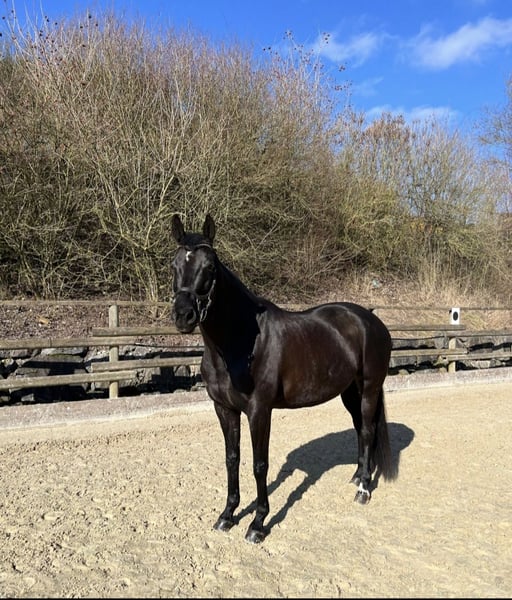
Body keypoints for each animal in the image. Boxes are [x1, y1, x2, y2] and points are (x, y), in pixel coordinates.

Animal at [171, 214, 397, 543]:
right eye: (173, 264)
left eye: (209, 267)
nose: (183, 315)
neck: (240, 343)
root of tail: (372, 321)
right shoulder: (224, 409)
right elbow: (232, 459)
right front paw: (227, 515)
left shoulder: (259, 411)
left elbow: (259, 465)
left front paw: (257, 523)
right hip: (349, 391)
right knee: (359, 429)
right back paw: (357, 476)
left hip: (369, 388)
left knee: (368, 431)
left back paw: (364, 489)